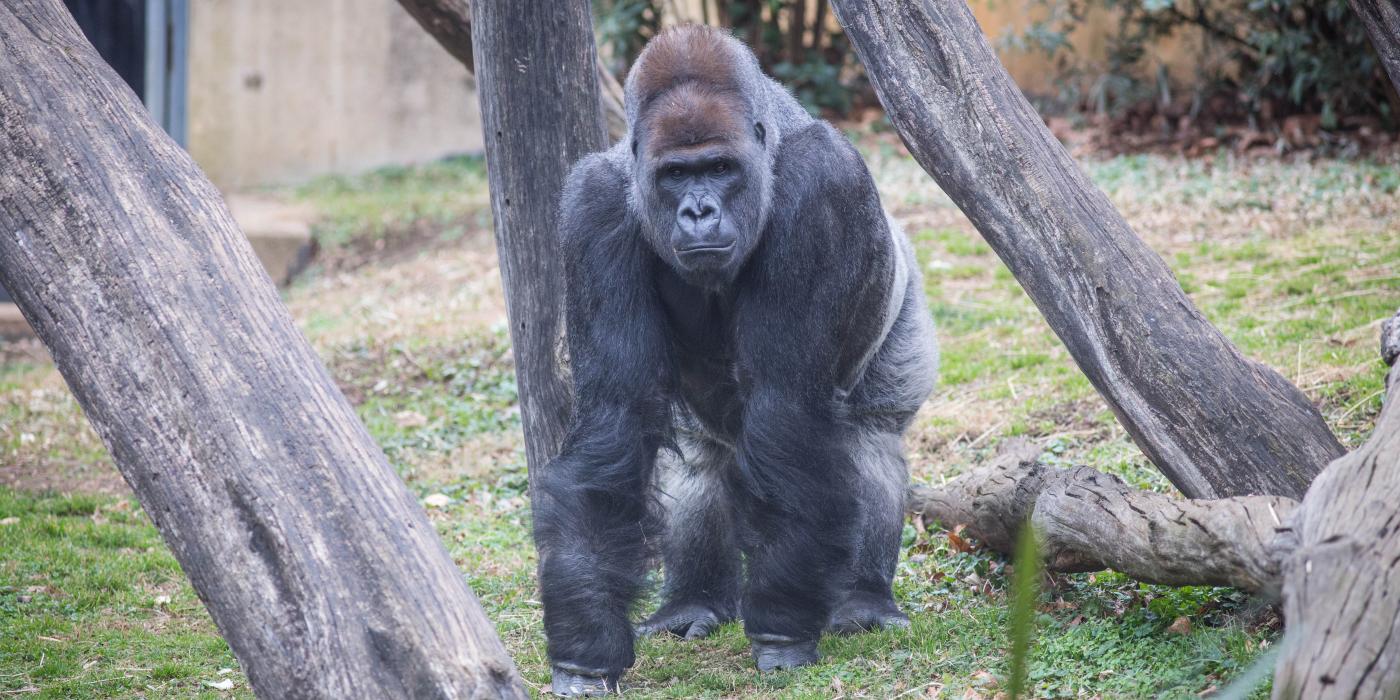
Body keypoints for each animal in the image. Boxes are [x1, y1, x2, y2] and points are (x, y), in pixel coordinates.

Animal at [534, 23, 940, 694]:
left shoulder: (820, 186)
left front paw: (780, 628)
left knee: (868, 436)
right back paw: (691, 601)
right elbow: (615, 419)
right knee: (697, 459)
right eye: (676, 175)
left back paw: (863, 598)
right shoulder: (593, 207)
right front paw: (585, 646)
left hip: (903, 307)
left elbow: (785, 408)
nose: (699, 211)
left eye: (719, 168)